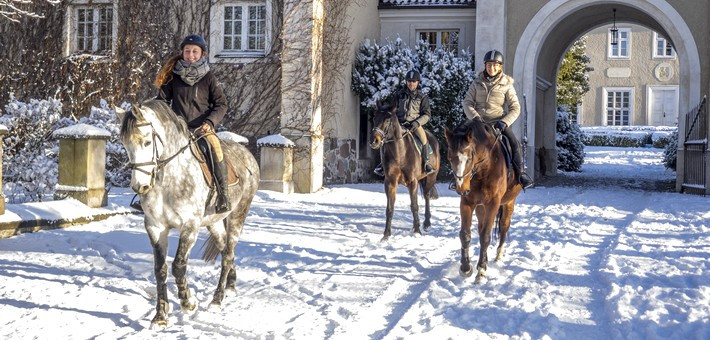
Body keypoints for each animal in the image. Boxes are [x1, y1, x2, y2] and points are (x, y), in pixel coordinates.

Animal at [115, 99, 260, 328]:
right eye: (125, 144)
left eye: (146, 142)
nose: (140, 186)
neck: (169, 179)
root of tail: (248, 156)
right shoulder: (155, 227)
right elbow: (160, 269)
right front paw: (160, 316)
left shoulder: (189, 226)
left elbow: (178, 265)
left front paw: (188, 303)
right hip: (214, 222)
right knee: (225, 249)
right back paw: (230, 285)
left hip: (238, 214)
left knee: (228, 254)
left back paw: (217, 300)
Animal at [372, 103, 440, 239]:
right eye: (374, 118)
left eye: (387, 120)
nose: (375, 141)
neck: (400, 153)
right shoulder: (390, 183)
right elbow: (390, 208)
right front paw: (386, 235)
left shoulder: (412, 182)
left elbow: (414, 206)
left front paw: (417, 232)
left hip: (430, 178)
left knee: (427, 196)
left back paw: (426, 224)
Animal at [444, 119, 524, 284]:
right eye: (449, 158)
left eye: (469, 158)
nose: (461, 188)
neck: (483, 169)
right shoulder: (467, 202)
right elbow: (465, 234)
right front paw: (465, 268)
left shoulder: (493, 204)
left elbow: (486, 237)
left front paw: (480, 271)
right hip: (481, 207)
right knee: (481, 229)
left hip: (508, 203)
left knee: (504, 226)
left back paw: (498, 255)